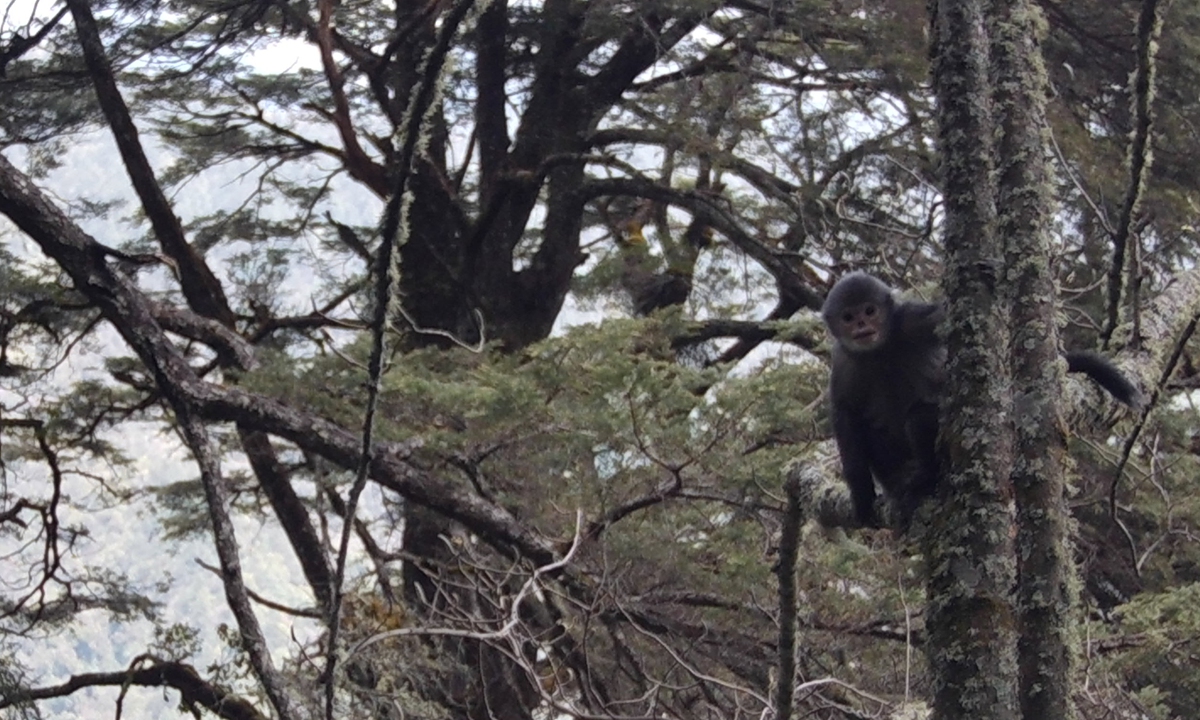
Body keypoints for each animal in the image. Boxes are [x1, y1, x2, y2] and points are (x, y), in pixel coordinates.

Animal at [822, 271, 1142, 529]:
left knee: (919, 417)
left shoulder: (912, 320)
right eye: (848, 316)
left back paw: (924, 478)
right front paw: (862, 496)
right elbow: (846, 418)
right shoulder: (843, 365)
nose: (861, 326)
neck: (879, 351)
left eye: (870, 310)